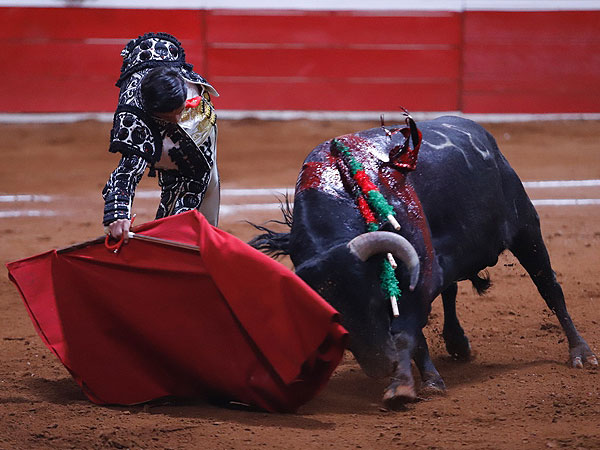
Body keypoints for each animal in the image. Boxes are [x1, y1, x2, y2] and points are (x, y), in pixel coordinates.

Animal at [250, 115, 597, 409]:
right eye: (334, 316)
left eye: (377, 301)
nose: (381, 365)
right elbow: (417, 333)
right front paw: (423, 379)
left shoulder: (412, 280)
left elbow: (407, 332)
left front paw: (408, 385)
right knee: (451, 290)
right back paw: (457, 343)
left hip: (527, 230)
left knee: (550, 288)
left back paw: (582, 354)